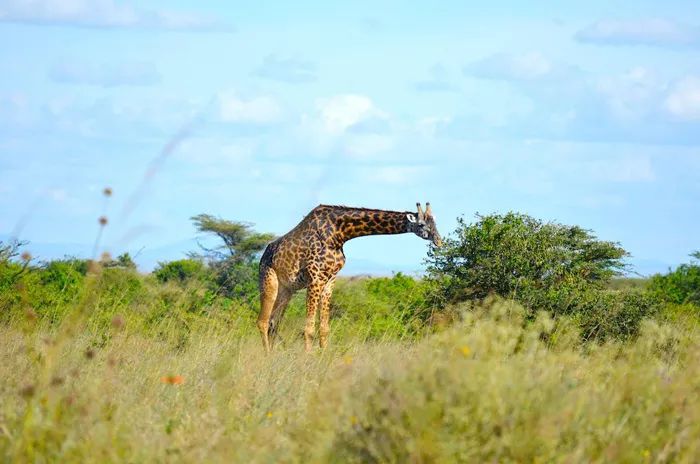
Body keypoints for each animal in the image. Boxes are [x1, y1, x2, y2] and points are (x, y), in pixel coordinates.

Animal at [258, 201, 442, 350]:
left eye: (435, 222)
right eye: (421, 225)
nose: (439, 241)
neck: (339, 234)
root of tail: (263, 257)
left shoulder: (330, 280)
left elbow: (324, 329)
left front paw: (322, 358)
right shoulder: (315, 279)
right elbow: (308, 329)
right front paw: (307, 361)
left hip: (287, 290)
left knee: (273, 323)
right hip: (269, 282)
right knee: (263, 322)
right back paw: (267, 358)